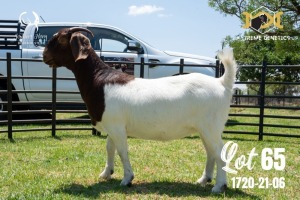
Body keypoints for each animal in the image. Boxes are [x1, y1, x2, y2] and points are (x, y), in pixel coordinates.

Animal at [43, 27, 238, 193]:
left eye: (58, 39)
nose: (44, 55)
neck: (100, 79)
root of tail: (222, 82)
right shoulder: (113, 125)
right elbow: (110, 147)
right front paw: (106, 173)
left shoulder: (116, 126)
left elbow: (122, 151)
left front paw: (127, 179)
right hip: (206, 129)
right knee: (211, 152)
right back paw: (204, 180)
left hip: (210, 126)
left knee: (220, 153)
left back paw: (219, 186)